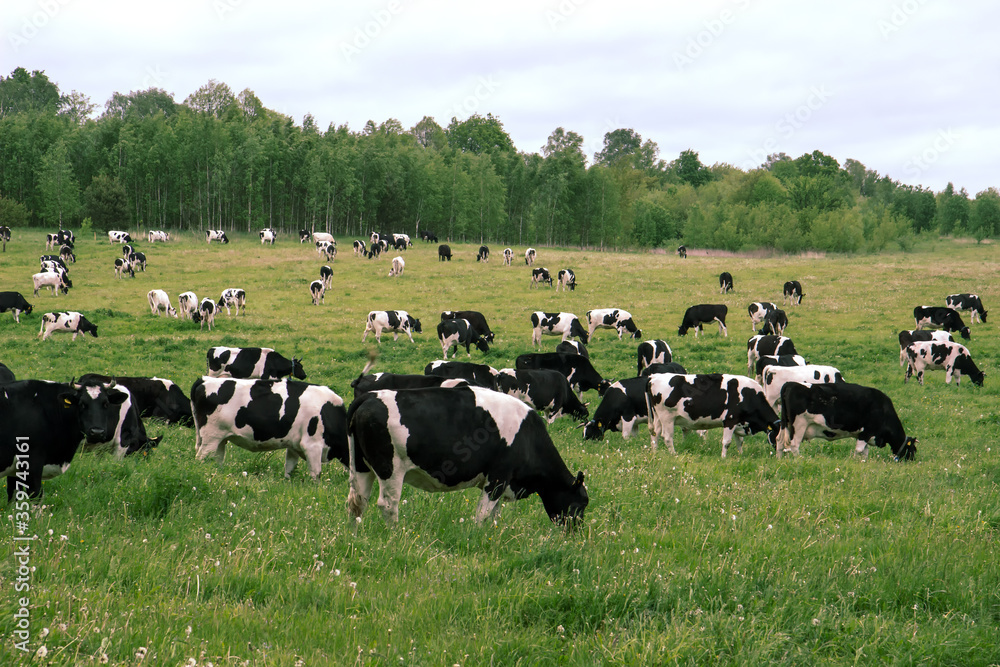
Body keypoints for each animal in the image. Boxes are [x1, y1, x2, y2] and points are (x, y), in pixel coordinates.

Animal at [0, 380, 131, 500]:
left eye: (106, 404)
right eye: (82, 404)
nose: (97, 432)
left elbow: (13, 495)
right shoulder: (32, 462)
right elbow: (36, 495)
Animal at [193, 376, 350, 480]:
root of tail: (204, 379)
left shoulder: (294, 446)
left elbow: (290, 469)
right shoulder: (312, 445)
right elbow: (316, 474)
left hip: (219, 439)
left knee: (216, 460)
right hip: (210, 436)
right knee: (201, 458)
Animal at [348, 386, 588, 528]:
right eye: (581, 503)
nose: (575, 531)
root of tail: (369, 396)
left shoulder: (502, 482)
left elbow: (494, 514)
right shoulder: (498, 477)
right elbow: (483, 514)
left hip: (361, 467)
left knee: (357, 502)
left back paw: (355, 532)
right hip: (391, 469)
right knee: (388, 505)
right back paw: (396, 534)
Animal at [644, 374, 776, 456]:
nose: (780, 456)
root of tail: (654, 377)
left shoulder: (738, 423)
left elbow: (740, 441)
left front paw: (741, 455)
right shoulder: (730, 420)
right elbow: (727, 442)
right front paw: (723, 458)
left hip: (657, 417)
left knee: (655, 434)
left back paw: (655, 453)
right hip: (667, 417)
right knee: (667, 437)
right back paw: (673, 454)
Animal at [776, 384, 916, 462]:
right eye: (913, 449)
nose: (913, 461)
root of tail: (790, 384)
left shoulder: (864, 435)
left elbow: (865, 452)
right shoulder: (867, 431)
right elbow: (859, 450)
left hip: (785, 425)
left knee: (779, 441)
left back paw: (779, 459)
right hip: (799, 425)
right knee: (794, 445)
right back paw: (799, 460)